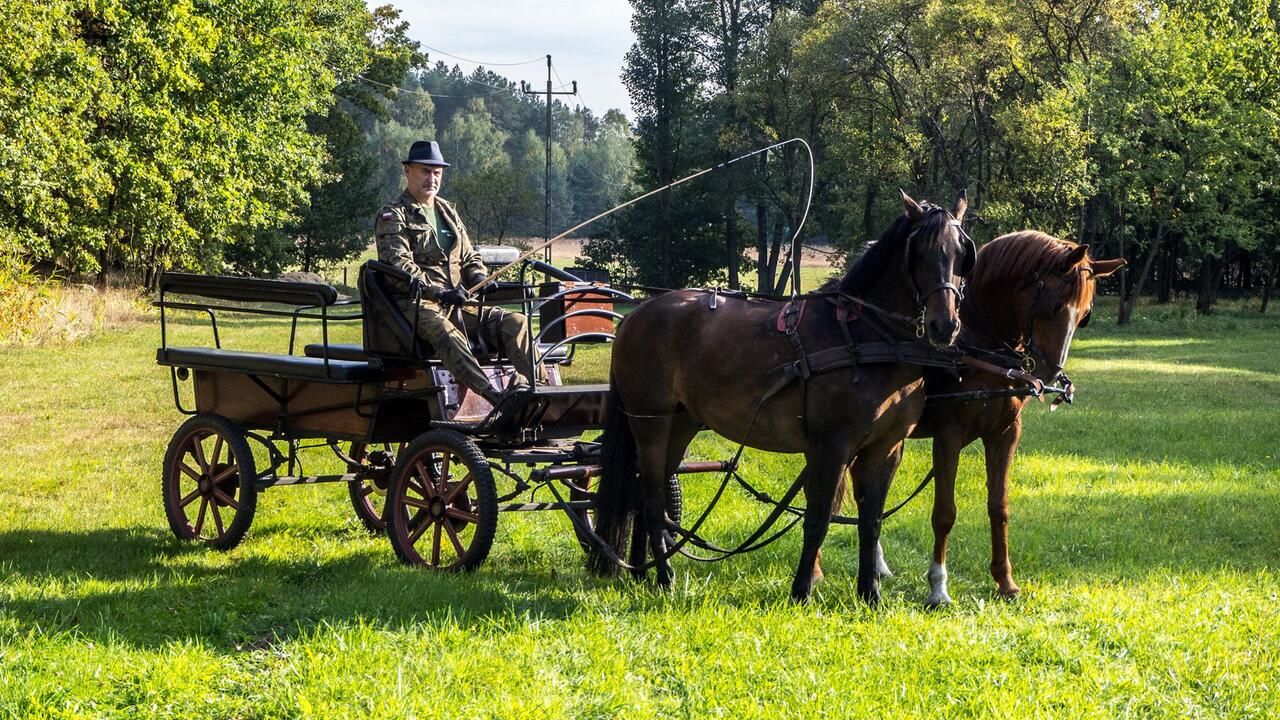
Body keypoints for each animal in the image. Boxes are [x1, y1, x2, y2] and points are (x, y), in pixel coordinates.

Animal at [586, 190, 967, 599]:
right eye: (920, 252)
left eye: (961, 253)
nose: (944, 325)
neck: (866, 336)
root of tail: (637, 313)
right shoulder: (832, 444)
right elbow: (818, 518)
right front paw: (802, 590)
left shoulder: (886, 447)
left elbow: (872, 522)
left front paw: (870, 593)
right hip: (650, 423)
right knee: (653, 496)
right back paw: (663, 575)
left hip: (681, 422)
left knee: (645, 492)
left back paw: (644, 570)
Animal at [829, 229, 1121, 599]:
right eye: (1052, 305)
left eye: (1085, 314)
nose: (1049, 374)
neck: (978, 347)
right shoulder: (948, 435)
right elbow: (944, 512)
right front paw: (938, 587)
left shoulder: (1005, 433)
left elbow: (999, 506)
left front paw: (1005, 580)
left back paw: (877, 565)